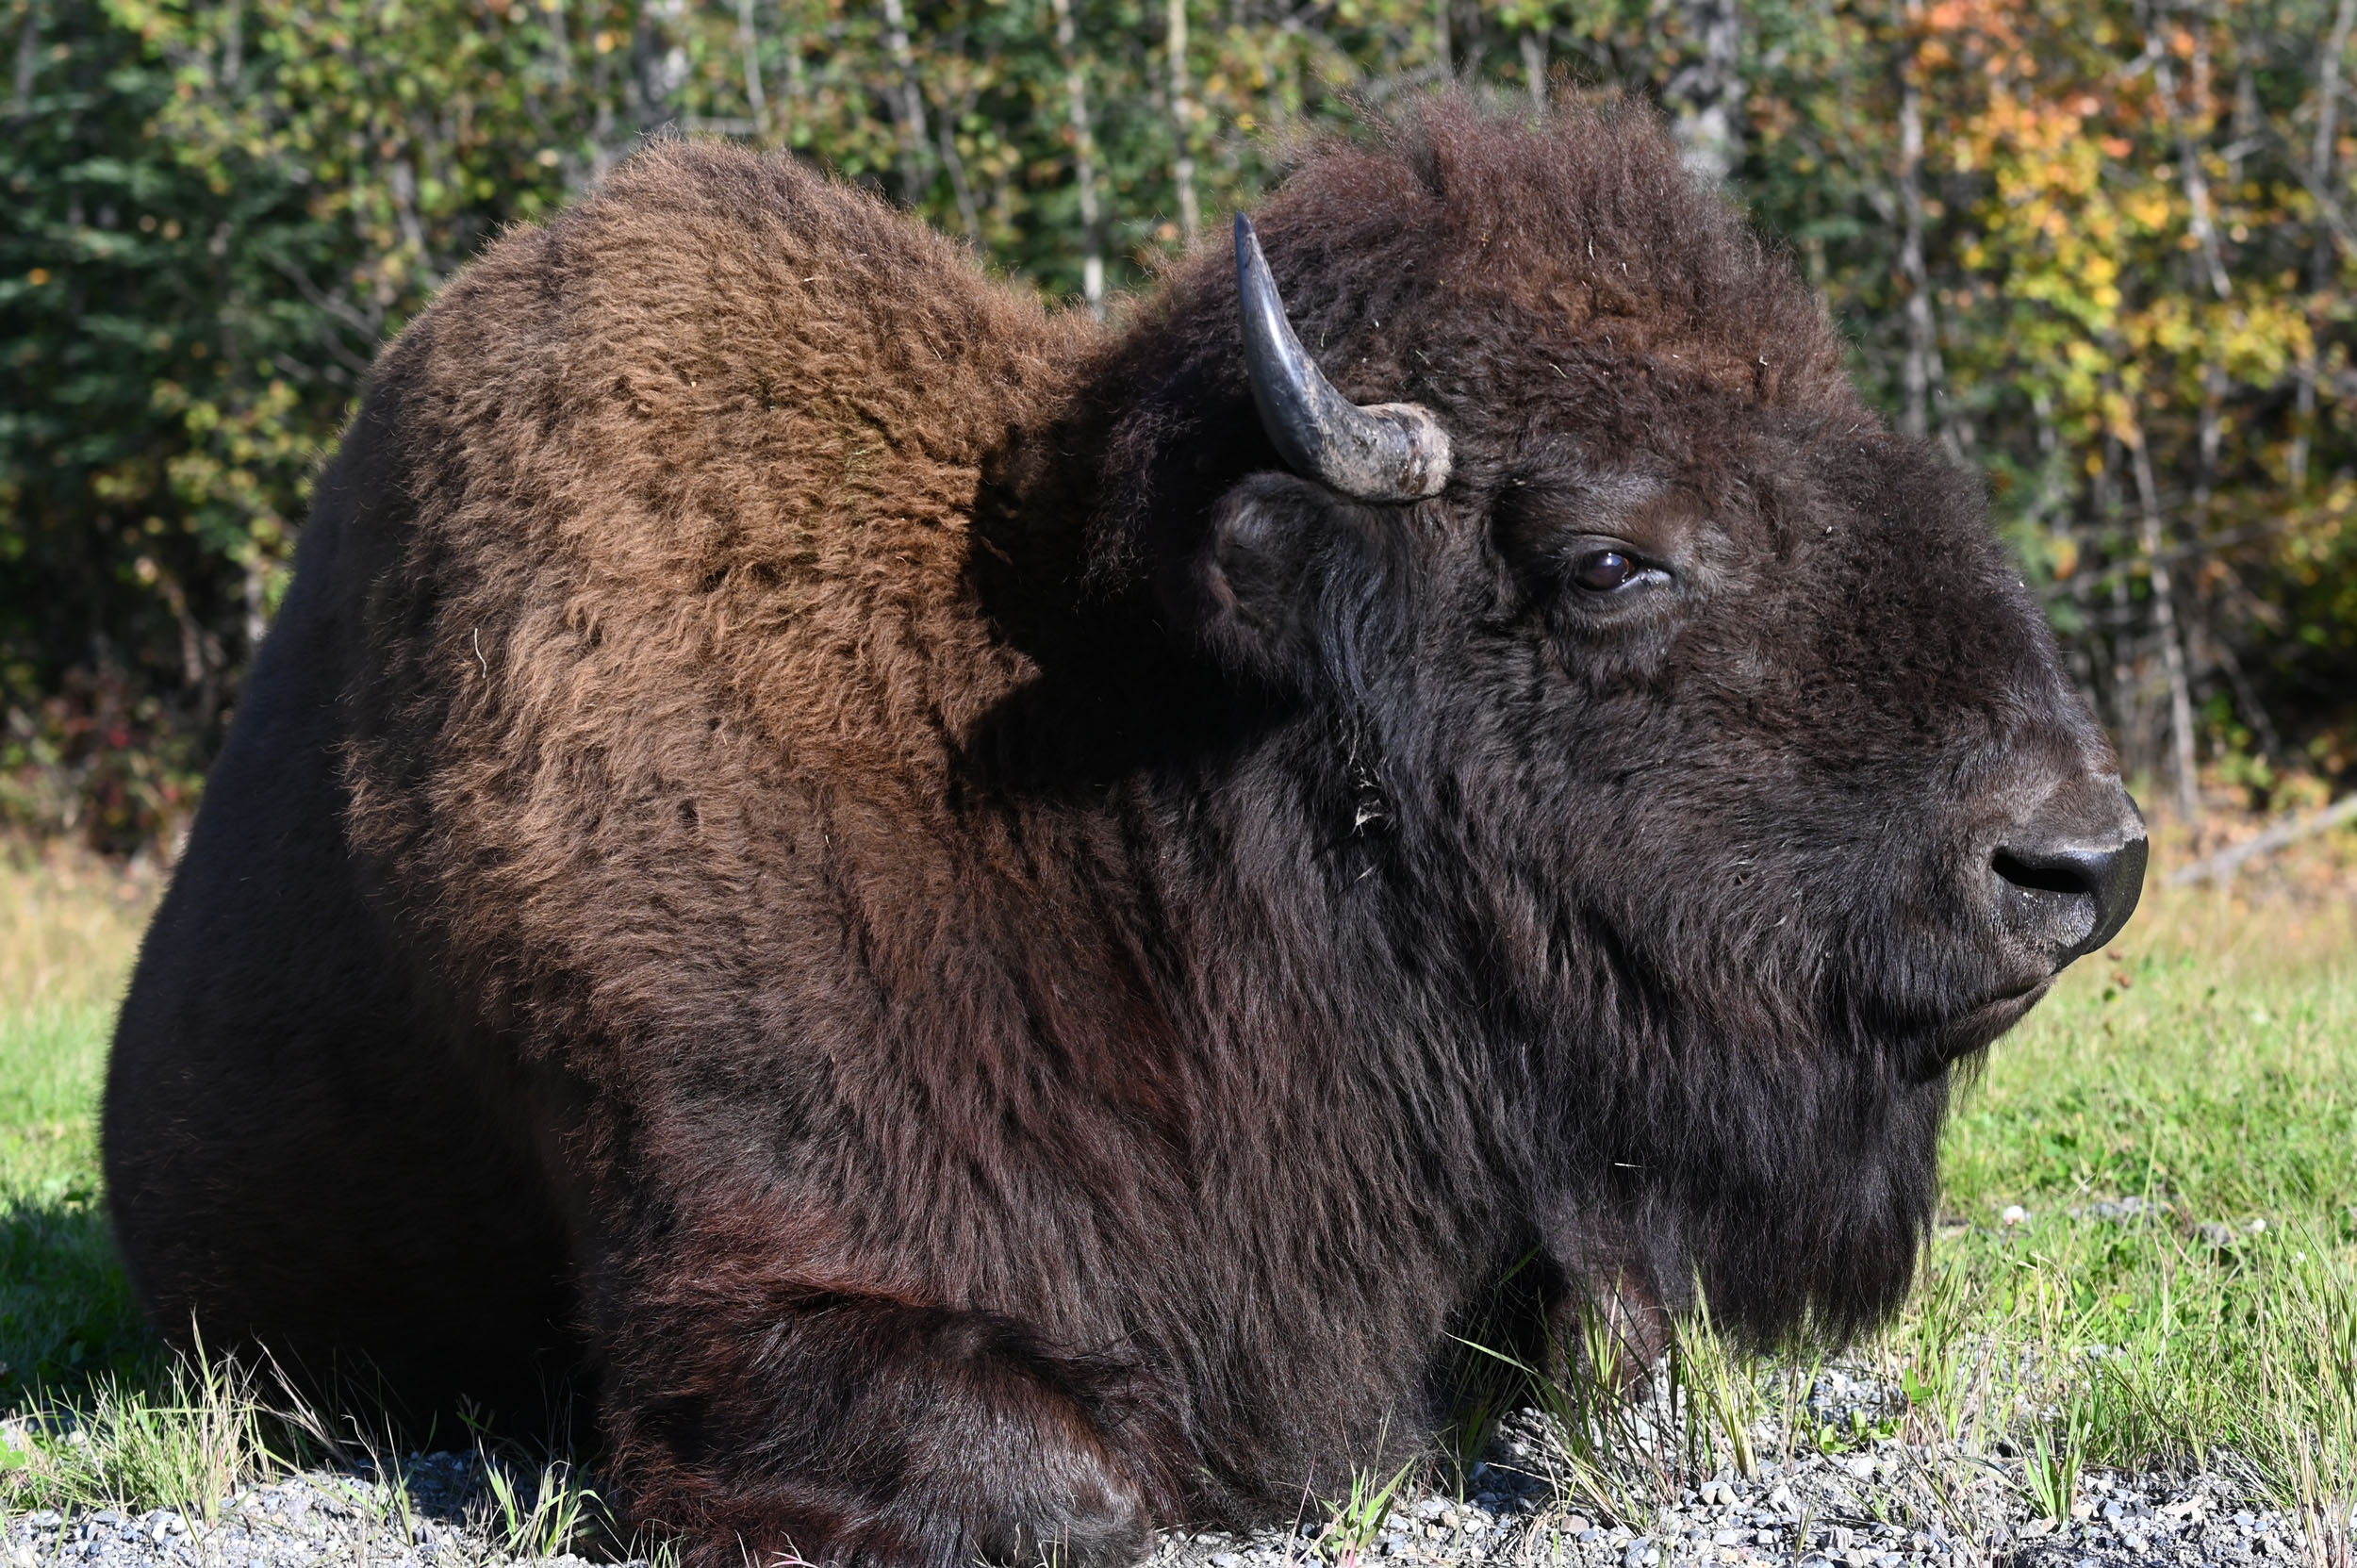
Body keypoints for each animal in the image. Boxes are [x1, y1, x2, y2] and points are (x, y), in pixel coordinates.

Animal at [104, 99, 2145, 1568]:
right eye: (1605, 557)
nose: (2078, 862)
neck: (1126, 758)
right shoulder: (746, 1281)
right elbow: (1079, 1482)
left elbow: (1607, 1348)